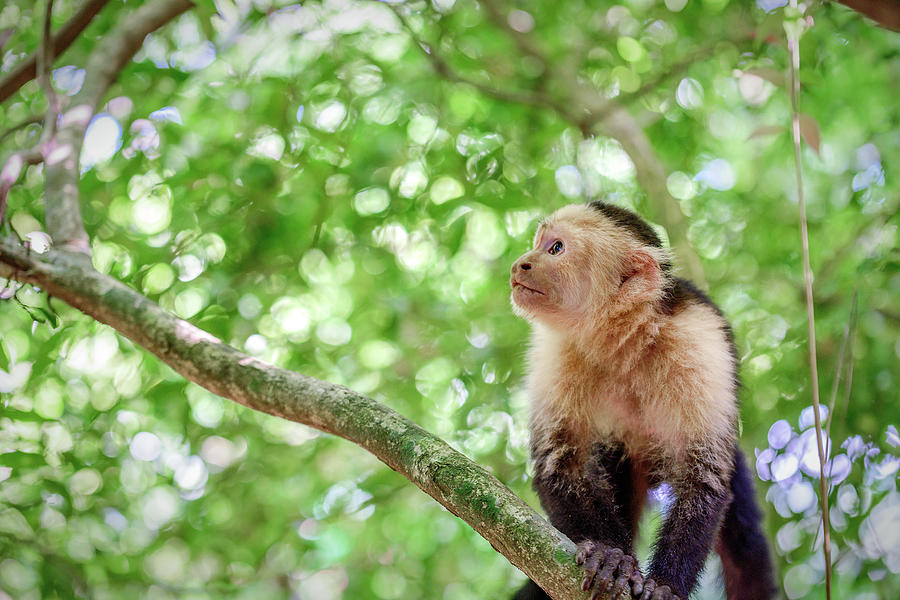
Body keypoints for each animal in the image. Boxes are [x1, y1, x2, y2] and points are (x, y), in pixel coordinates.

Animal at [510, 203, 776, 600]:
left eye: (555, 248)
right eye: (539, 244)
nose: (520, 264)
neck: (622, 340)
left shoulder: (699, 342)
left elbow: (703, 478)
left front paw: (666, 585)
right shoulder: (556, 352)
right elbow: (563, 464)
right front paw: (610, 555)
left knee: (744, 541)